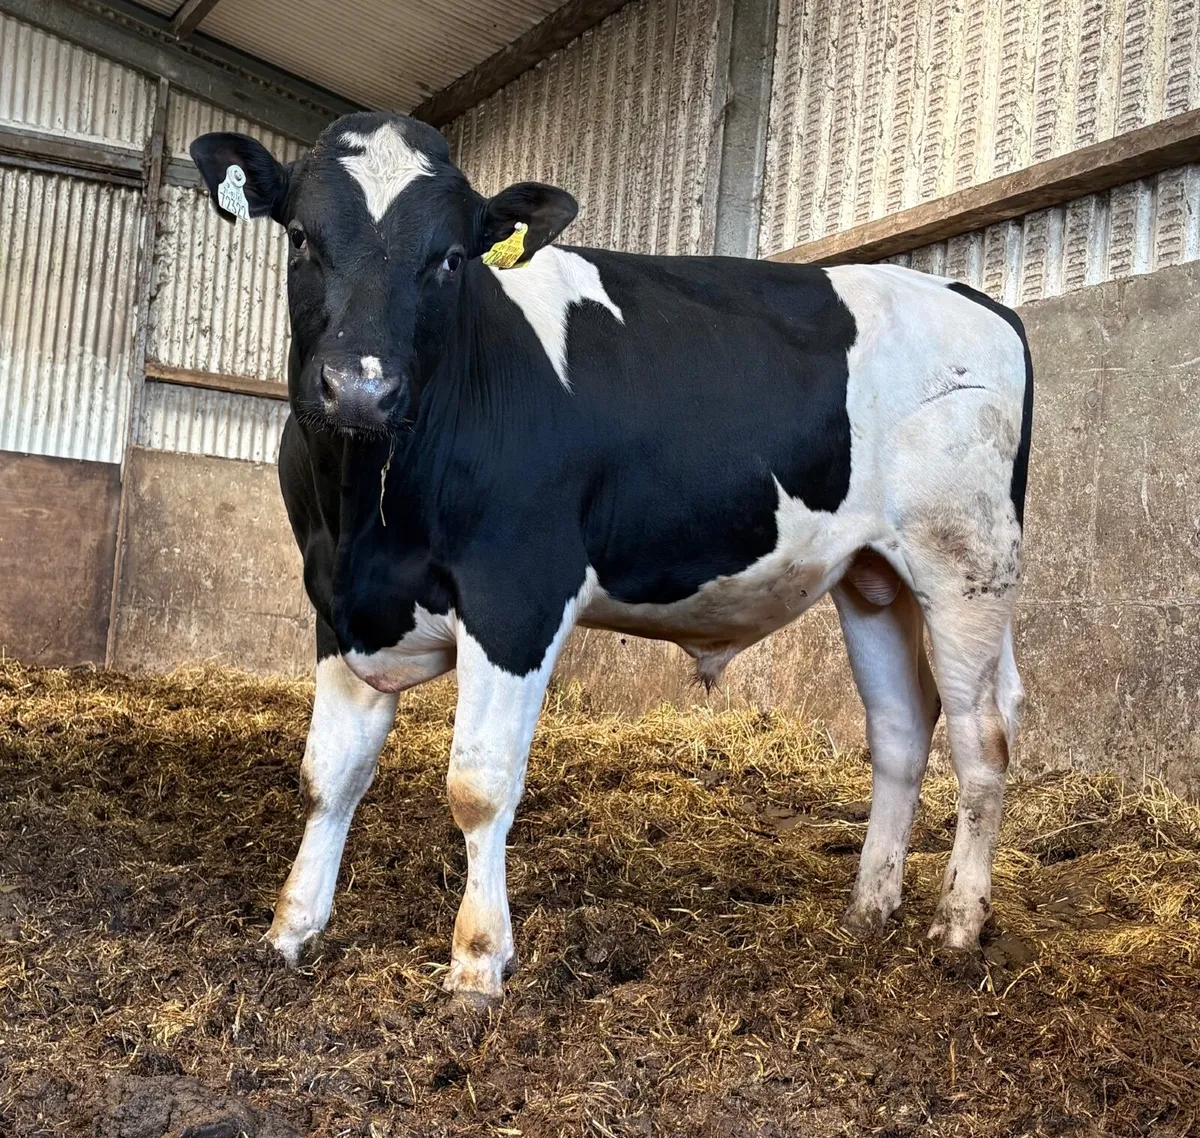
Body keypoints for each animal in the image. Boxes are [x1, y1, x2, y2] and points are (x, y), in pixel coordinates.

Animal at [190, 111, 1032, 1003]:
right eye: (302, 238)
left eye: (449, 257)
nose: (359, 388)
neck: (366, 514)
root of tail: (977, 301)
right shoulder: (338, 604)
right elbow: (328, 775)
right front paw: (290, 930)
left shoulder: (518, 596)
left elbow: (478, 785)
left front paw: (477, 962)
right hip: (874, 576)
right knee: (902, 729)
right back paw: (869, 909)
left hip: (966, 564)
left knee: (984, 737)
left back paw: (958, 924)